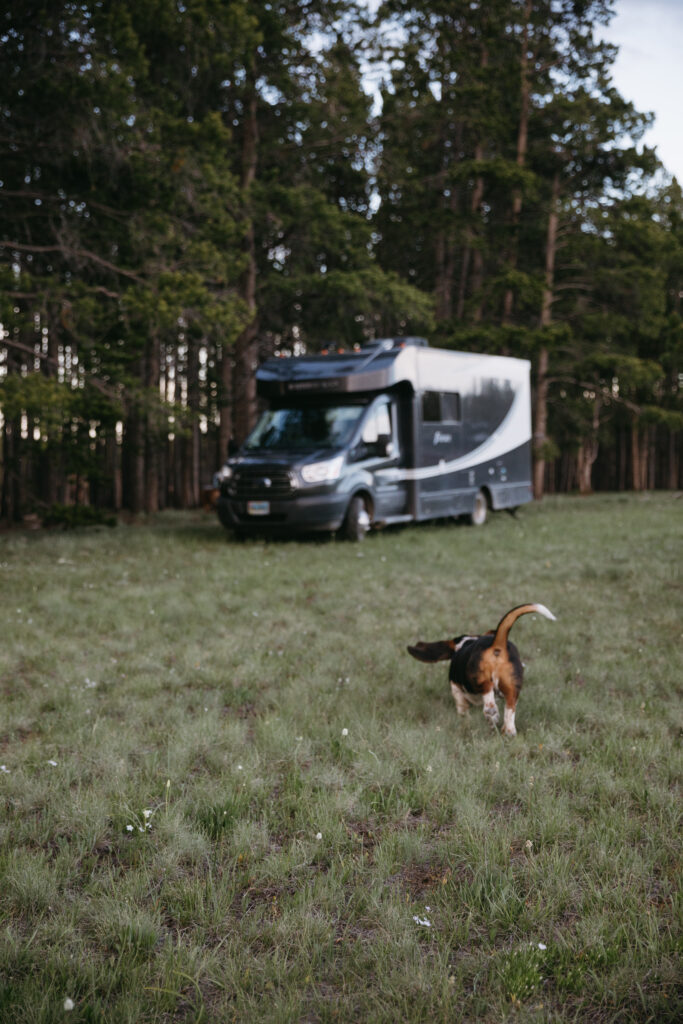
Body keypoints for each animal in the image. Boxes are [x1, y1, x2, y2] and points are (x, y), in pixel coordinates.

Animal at [405, 598, 557, 737]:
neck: (465, 643)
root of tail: (497, 645)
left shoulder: (455, 688)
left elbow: (462, 707)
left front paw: (465, 719)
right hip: (512, 685)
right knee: (510, 707)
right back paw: (508, 730)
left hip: (479, 678)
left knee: (488, 699)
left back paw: (492, 716)